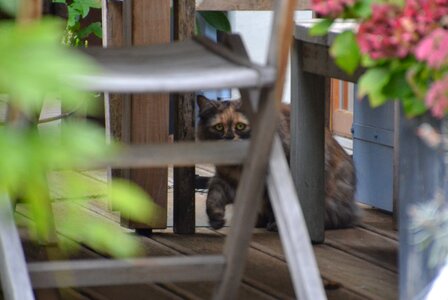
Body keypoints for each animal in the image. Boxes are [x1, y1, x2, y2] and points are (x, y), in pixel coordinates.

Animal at [198, 95, 358, 231]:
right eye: (219, 127)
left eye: (240, 126)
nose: (230, 138)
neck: (238, 164)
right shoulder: (224, 178)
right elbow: (212, 197)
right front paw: (216, 219)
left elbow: (277, 205)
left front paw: (274, 224)